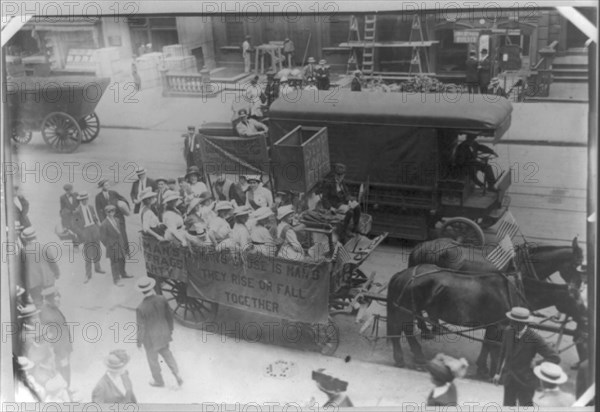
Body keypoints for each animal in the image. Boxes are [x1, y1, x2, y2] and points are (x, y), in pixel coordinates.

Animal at [386, 264, 588, 370]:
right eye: (578, 301)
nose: (586, 320)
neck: (513, 290)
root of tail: (403, 274)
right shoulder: (498, 324)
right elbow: (493, 346)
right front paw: (489, 370)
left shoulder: (494, 324)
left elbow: (488, 344)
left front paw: (483, 366)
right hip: (405, 310)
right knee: (400, 330)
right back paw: (403, 358)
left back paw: (417, 356)